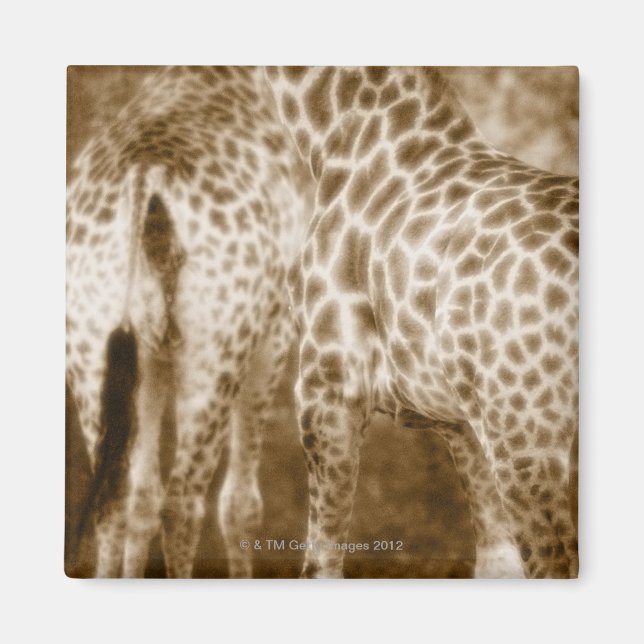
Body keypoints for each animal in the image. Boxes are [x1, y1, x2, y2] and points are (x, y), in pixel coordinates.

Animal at [66, 66, 312, 578]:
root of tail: (146, 176)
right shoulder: (274, 333)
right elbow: (240, 505)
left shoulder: (152, 359)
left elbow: (141, 497)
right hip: (215, 354)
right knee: (183, 503)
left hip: (91, 348)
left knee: (114, 499)